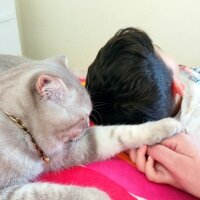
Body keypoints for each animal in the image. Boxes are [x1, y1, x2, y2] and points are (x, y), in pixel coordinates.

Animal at [0, 54, 182, 200]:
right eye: (83, 117)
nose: (88, 124)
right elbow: (46, 193)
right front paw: (98, 195)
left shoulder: (71, 148)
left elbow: (119, 133)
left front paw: (166, 124)